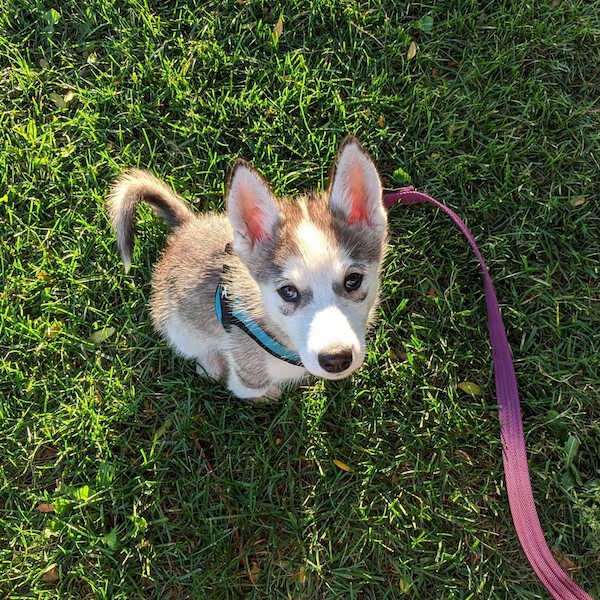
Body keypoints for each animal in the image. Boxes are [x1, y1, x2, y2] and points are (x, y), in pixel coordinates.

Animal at [108, 137, 390, 398]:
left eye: (353, 279)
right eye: (288, 291)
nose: (336, 359)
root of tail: (186, 227)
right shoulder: (246, 373)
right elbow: (249, 389)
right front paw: (268, 395)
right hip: (178, 325)